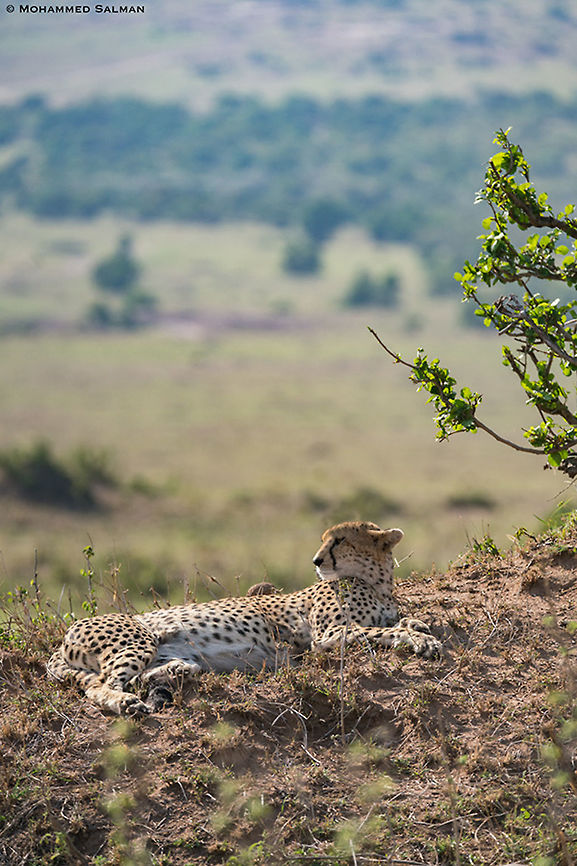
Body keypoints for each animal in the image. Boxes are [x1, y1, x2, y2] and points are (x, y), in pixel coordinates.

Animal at [47, 521, 441, 715]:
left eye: (340, 540)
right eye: (327, 540)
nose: (316, 560)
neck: (377, 582)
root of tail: (64, 637)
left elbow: (397, 621)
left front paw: (418, 625)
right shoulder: (327, 636)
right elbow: (379, 632)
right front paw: (422, 640)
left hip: (158, 651)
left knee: (136, 676)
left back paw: (176, 672)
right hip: (136, 639)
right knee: (99, 686)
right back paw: (125, 703)